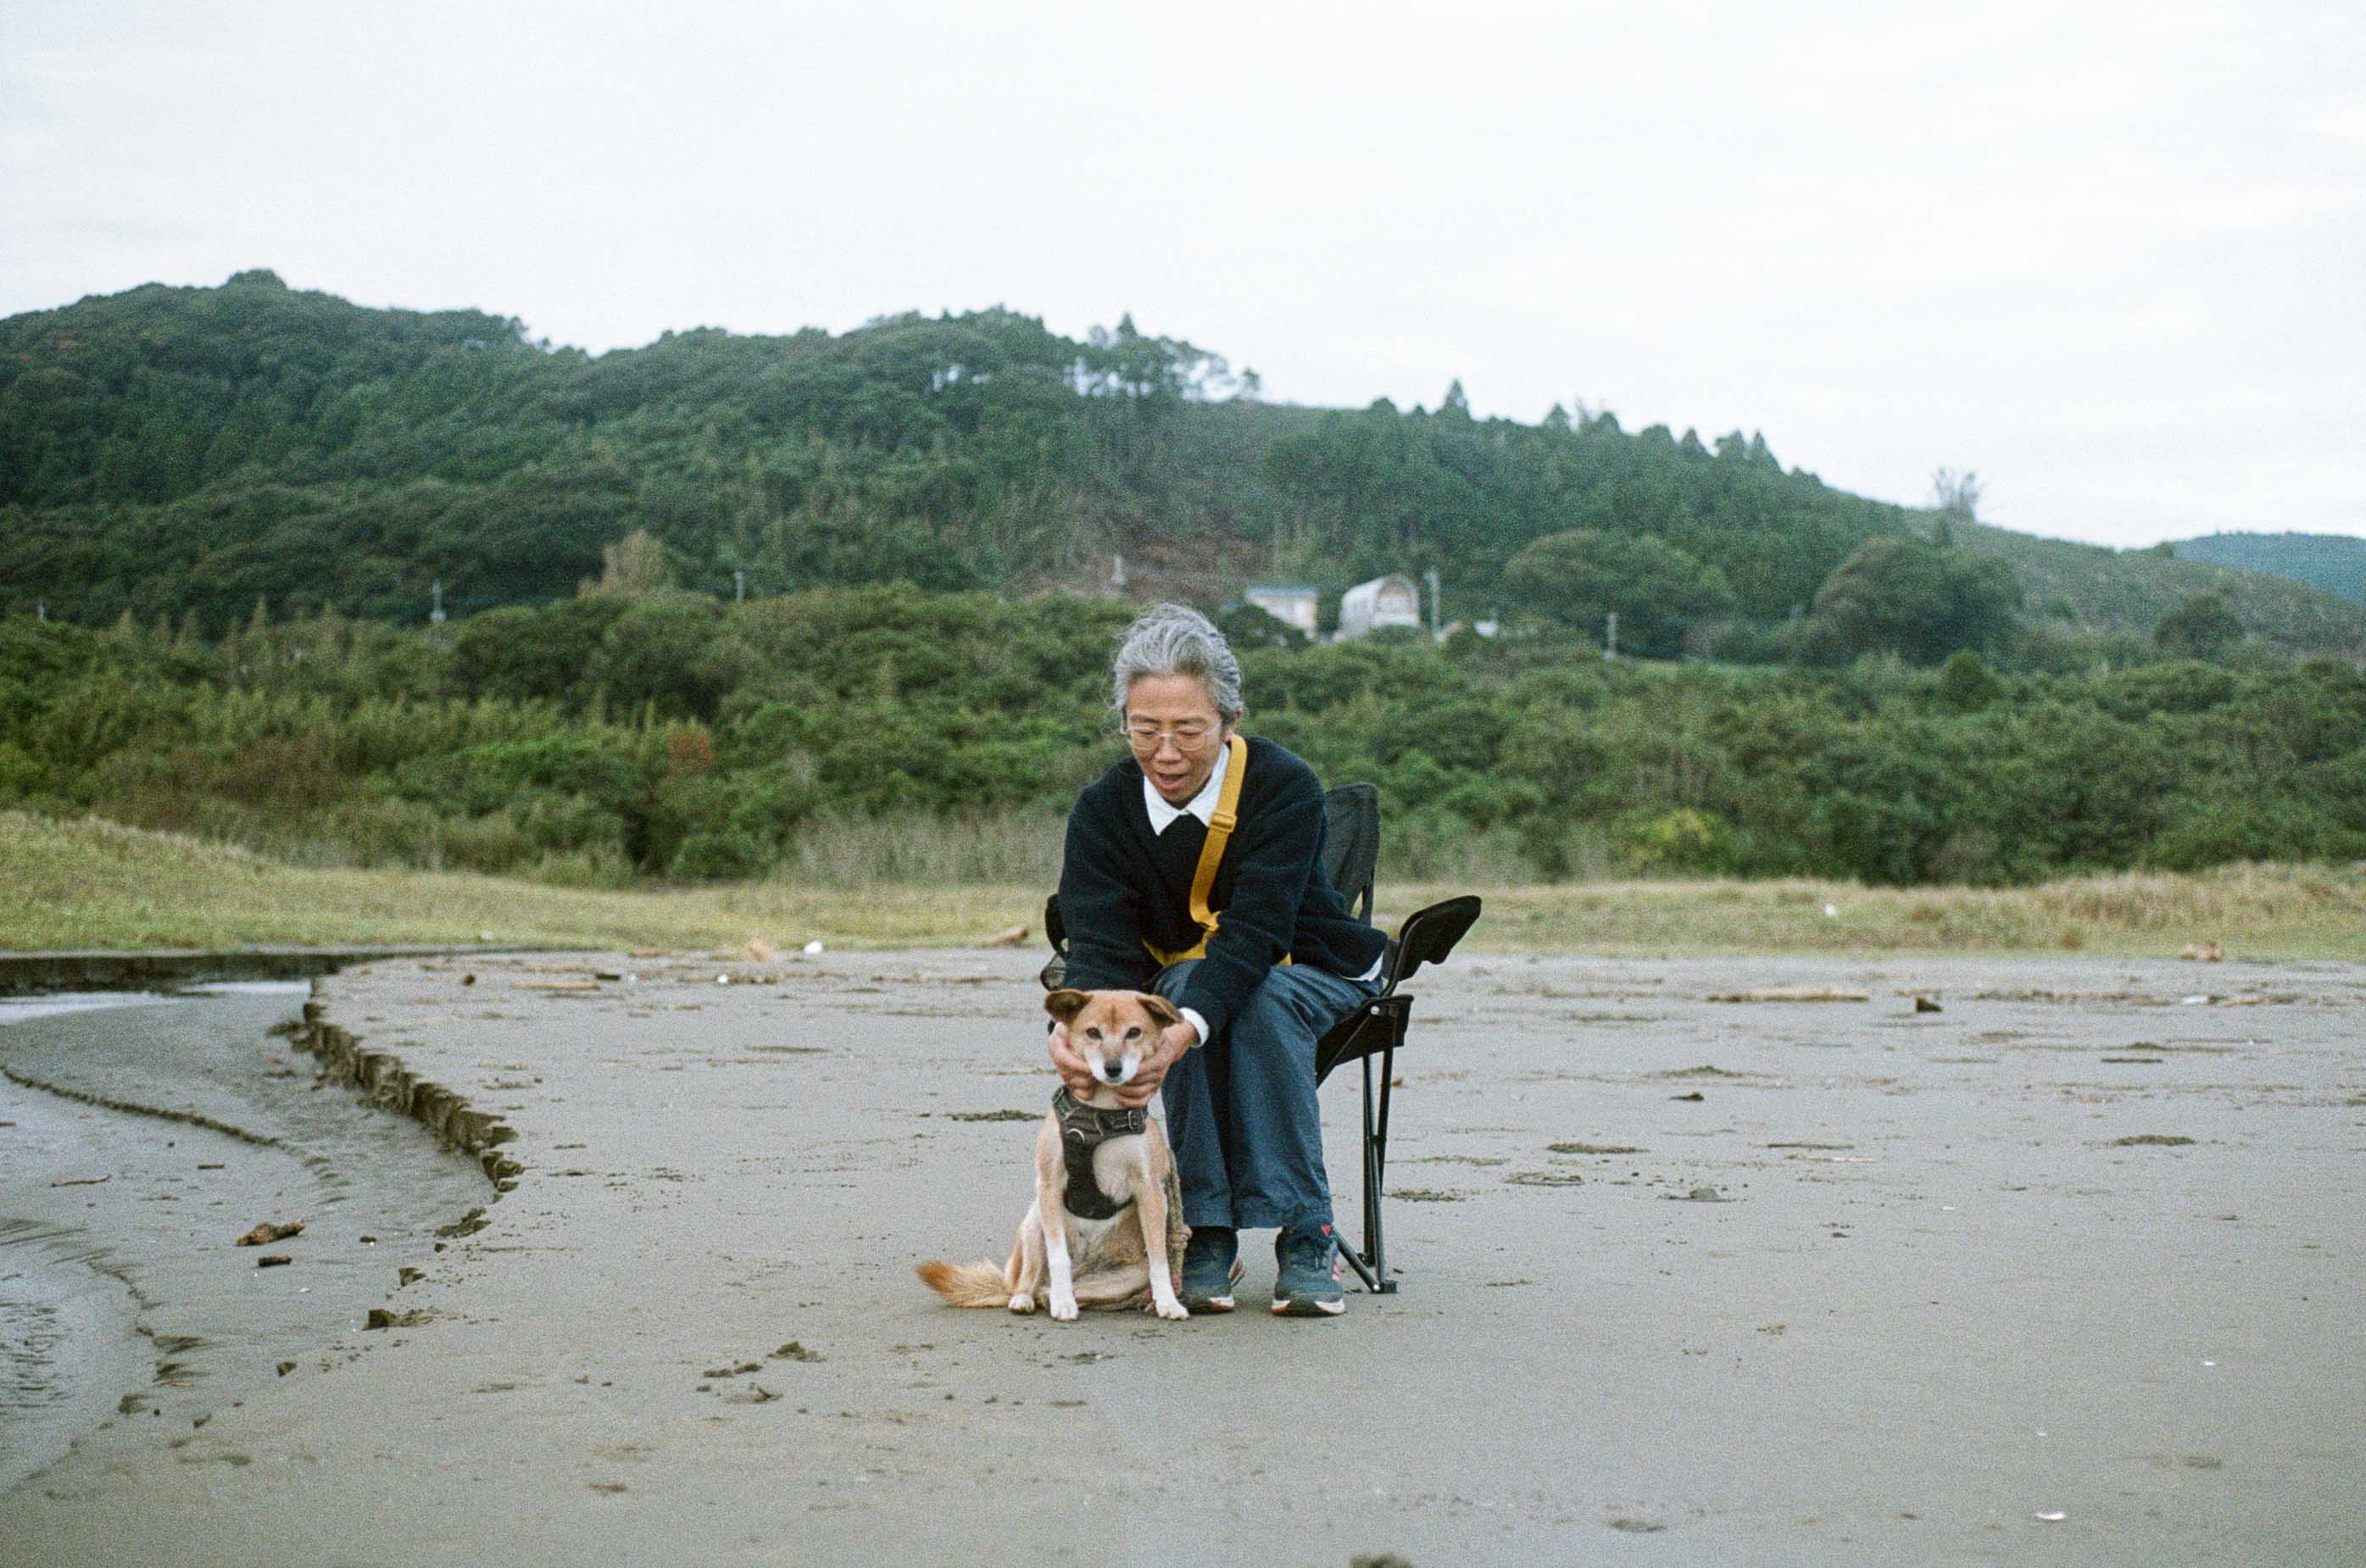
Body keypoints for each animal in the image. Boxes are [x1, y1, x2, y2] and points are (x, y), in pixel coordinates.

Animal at [917, 989, 1190, 1321]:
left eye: (1134, 1032)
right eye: (1093, 1032)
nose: (1113, 1068)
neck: (1101, 1114)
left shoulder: (1150, 1190)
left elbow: (1160, 1259)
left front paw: (1168, 1302)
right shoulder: (1050, 1184)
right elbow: (1059, 1256)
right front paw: (1063, 1302)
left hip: (1122, 1277)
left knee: (1063, 1291)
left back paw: (1059, 1296)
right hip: (1035, 1221)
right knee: (1028, 1281)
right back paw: (1029, 1298)